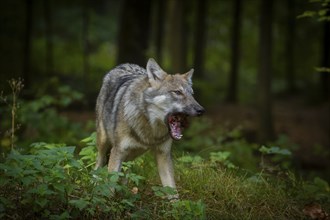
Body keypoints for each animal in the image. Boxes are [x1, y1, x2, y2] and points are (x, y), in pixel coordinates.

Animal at [94, 58, 204, 196]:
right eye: (178, 92)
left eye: (192, 94)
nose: (201, 110)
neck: (151, 130)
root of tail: (123, 65)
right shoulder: (117, 151)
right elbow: (110, 186)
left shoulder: (164, 155)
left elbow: (172, 190)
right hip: (104, 143)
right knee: (98, 164)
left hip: (133, 154)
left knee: (125, 172)